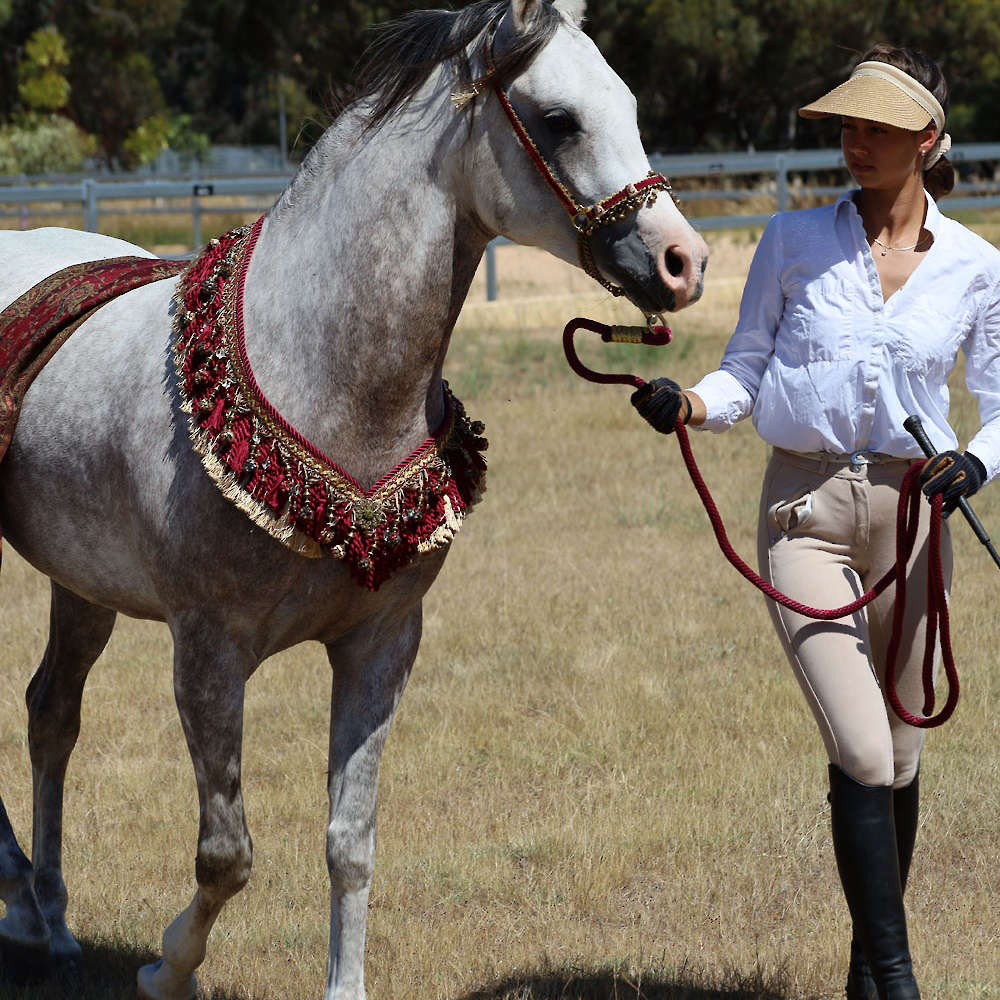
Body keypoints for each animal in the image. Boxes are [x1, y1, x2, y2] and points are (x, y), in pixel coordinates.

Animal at [0, 1, 708, 997]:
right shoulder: (207, 650)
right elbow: (227, 853)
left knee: (51, 714)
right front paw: (166, 969)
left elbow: (351, 840)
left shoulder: (381, 644)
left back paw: (48, 918)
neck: (320, 373)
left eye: (631, 104)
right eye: (561, 119)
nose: (684, 261)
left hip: (81, 586)